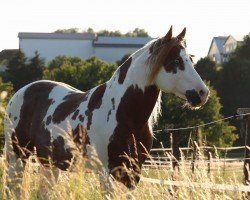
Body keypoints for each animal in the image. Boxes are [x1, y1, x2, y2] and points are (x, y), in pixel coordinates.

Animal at [3, 26, 209, 191]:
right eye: (176, 62)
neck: (123, 112)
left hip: (50, 165)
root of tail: (20, 93)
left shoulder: (133, 174)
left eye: (190, 60)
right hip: (18, 158)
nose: (202, 93)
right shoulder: (107, 173)